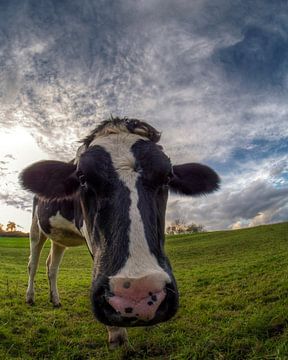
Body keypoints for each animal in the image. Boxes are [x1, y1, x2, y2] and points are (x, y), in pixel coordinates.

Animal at [19, 119, 218, 348]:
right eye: (82, 178)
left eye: (167, 177)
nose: (137, 295)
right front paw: (116, 333)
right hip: (35, 229)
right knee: (33, 263)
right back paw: (30, 297)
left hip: (59, 237)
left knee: (52, 266)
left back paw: (56, 300)